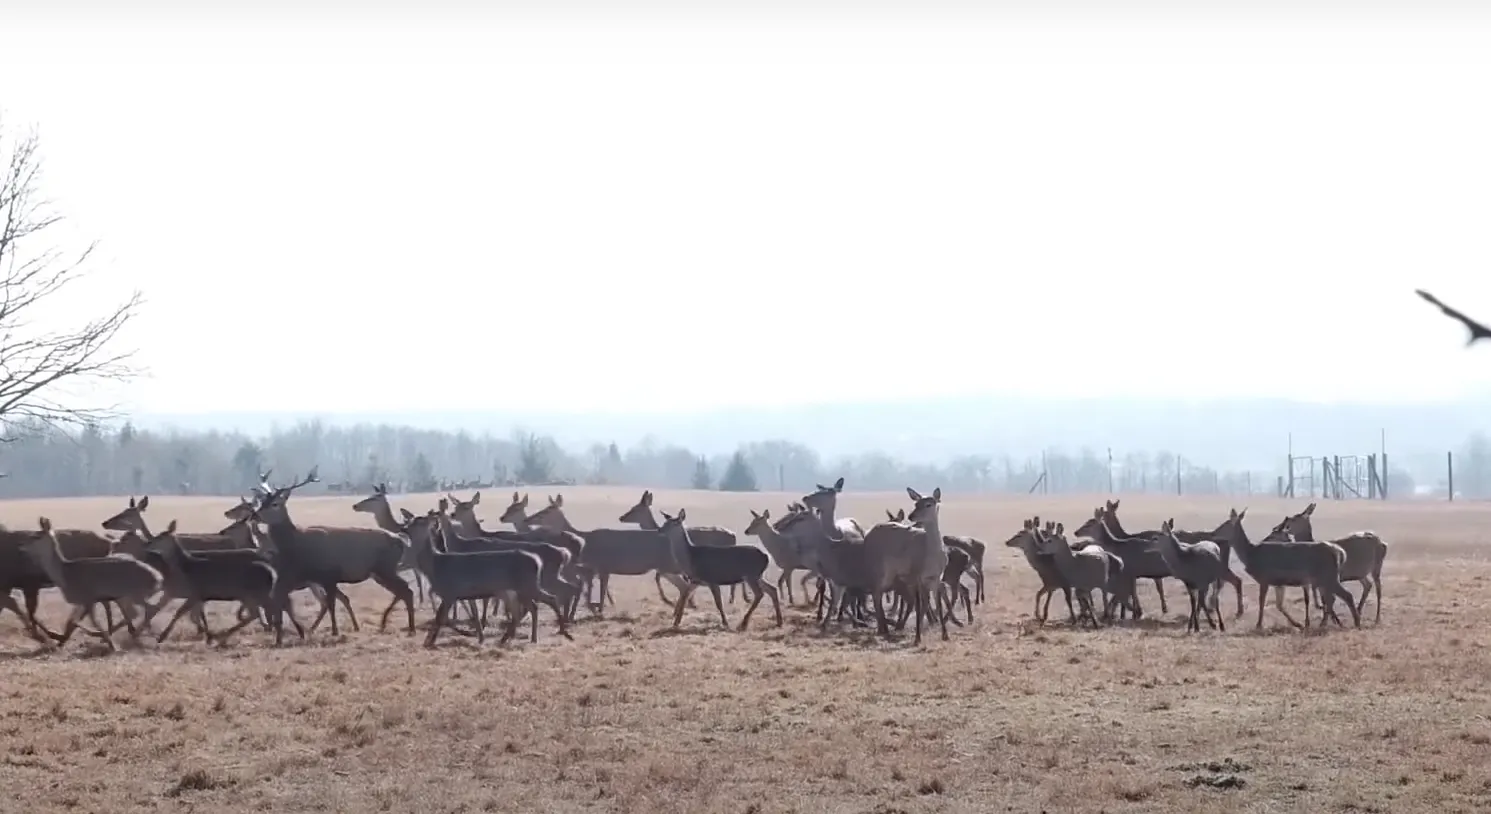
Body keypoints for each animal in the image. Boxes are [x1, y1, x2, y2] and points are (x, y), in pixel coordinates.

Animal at [248, 468, 414, 641]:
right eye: (262, 502)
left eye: (275, 504)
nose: (254, 516)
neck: (296, 544)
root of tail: (401, 542)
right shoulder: (311, 577)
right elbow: (328, 602)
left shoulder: (329, 574)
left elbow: (331, 604)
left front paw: (334, 631)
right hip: (380, 572)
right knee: (403, 590)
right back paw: (393, 625)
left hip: (385, 568)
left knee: (406, 590)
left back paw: (409, 628)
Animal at [659, 506, 787, 626]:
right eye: (665, 522)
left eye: (675, 523)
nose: (660, 529)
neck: (691, 557)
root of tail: (766, 556)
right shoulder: (696, 580)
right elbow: (685, 595)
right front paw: (676, 622)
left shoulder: (711, 579)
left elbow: (718, 603)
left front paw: (725, 622)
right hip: (758, 575)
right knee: (772, 589)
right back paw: (779, 621)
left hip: (751, 575)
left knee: (760, 594)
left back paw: (744, 623)